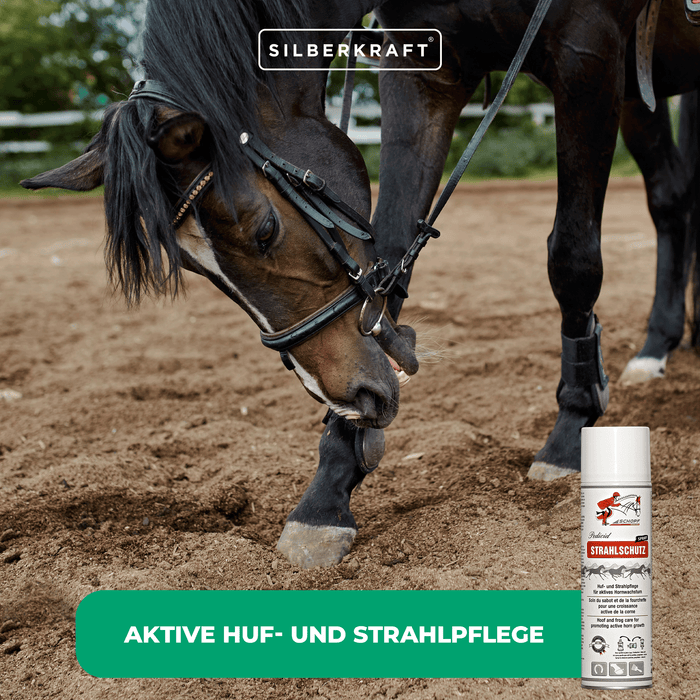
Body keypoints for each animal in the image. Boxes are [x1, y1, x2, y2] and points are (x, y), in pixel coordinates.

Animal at [371, 0, 700, 480]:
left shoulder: (590, 53)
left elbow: (573, 258)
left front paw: (571, 428)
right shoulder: (420, 67)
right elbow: (388, 254)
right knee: (671, 198)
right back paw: (657, 346)